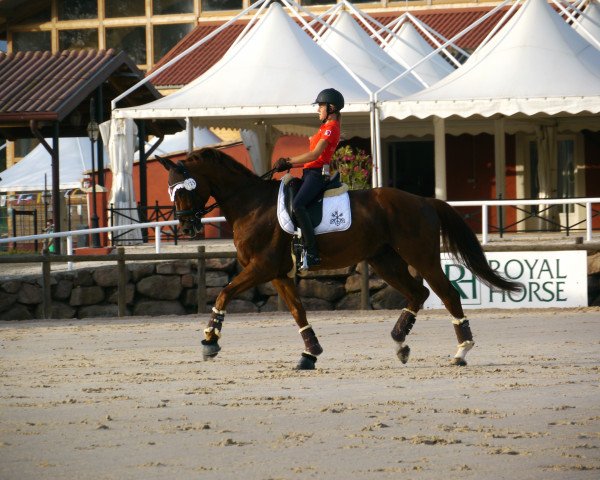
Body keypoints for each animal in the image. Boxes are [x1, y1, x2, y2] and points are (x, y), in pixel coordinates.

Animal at [158, 148, 520, 370]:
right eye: (171, 191)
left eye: (185, 189)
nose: (187, 227)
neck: (251, 204)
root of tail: (424, 200)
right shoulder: (278, 272)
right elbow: (298, 311)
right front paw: (310, 354)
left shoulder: (261, 267)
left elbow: (224, 292)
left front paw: (210, 340)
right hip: (383, 260)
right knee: (418, 293)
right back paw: (400, 342)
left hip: (421, 257)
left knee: (447, 294)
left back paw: (461, 351)